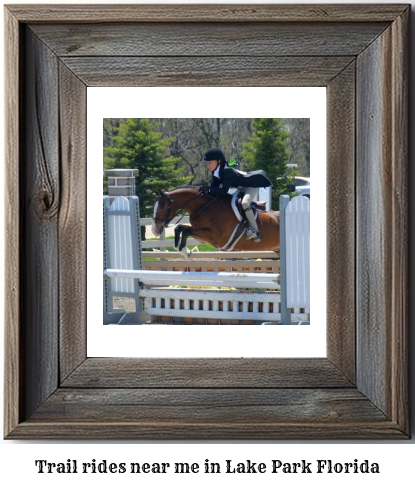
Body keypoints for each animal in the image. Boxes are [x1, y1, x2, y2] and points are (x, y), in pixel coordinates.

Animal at [151, 186, 282, 260]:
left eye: (162, 206)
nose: (154, 230)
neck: (204, 207)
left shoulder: (213, 237)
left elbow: (186, 230)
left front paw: (185, 252)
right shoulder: (202, 236)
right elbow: (179, 228)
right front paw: (185, 251)